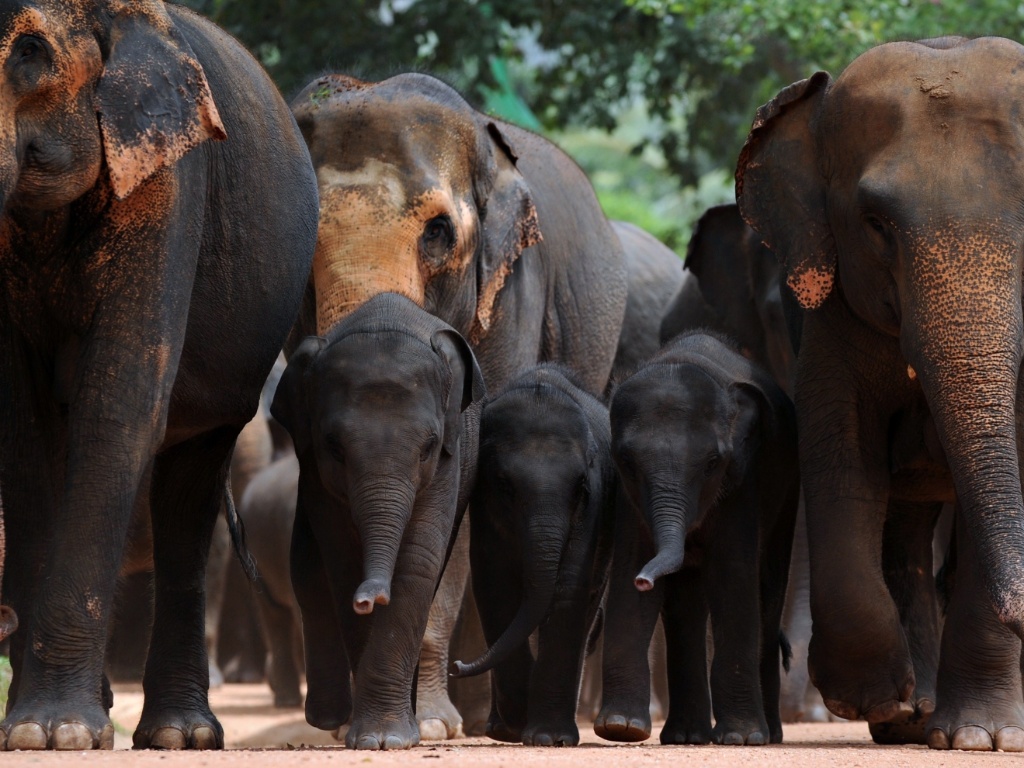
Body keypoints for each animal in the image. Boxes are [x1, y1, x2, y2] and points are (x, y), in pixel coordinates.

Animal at [0, 0, 317, 751]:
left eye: (30, 54)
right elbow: (21, 427)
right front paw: (32, 730)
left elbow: (120, 401)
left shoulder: (170, 176)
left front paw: (55, 733)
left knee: (190, 489)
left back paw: (180, 735)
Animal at [270, 292, 485, 750]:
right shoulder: (315, 470)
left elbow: (418, 561)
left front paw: (388, 740)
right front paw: (370, 737)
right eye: (334, 448)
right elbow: (342, 563)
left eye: (428, 447)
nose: (369, 598)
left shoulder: (450, 459)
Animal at [451, 364, 615, 746]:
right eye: (504, 485)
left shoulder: (593, 505)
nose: (456, 667)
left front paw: (549, 737)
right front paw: (517, 724)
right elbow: (495, 586)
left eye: (580, 486)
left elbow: (568, 588)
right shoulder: (484, 508)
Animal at [599, 330, 798, 746]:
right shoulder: (629, 497)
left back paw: (768, 735)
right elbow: (629, 564)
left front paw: (740, 739)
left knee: (768, 591)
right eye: (626, 461)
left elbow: (731, 575)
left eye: (712, 463)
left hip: (788, 491)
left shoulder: (743, 478)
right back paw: (686, 736)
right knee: (685, 606)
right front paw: (620, 728)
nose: (646, 580)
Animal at [735, 36, 1024, 751]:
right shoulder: (832, 319)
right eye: (874, 222)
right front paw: (872, 696)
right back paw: (909, 719)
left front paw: (978, 738)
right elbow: (843, 464)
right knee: (904, 523)